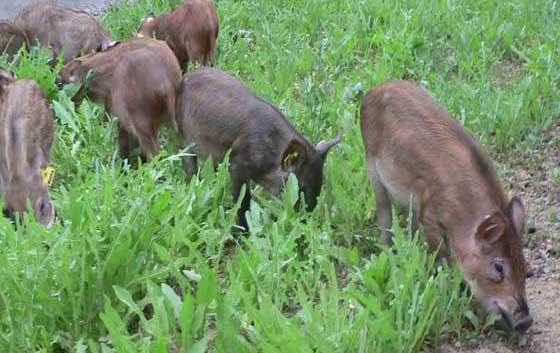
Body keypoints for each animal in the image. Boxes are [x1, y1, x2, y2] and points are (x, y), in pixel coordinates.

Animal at [360, 80, 532, 332]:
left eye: (524, 264)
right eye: (498, 267)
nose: (526, 321)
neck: (463, 215)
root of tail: (374, 90)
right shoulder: (430, 213)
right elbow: (440, 256)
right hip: (372, 167)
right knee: (384, 214)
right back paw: (388, 249)